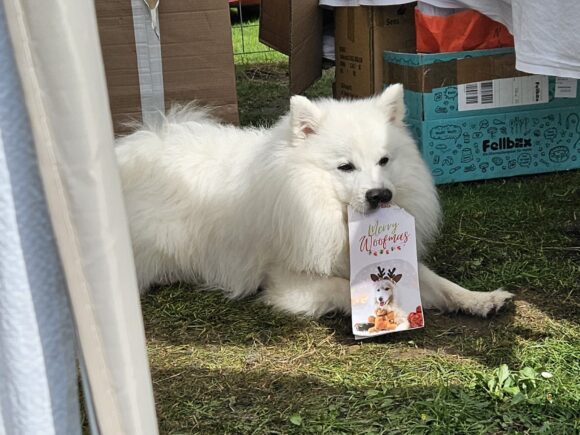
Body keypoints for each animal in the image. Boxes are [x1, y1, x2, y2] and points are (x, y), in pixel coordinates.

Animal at [116, 83, 512, 318]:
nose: (380, 195)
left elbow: (438, 282)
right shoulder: (288, 282)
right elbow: (343, 287)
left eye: (384, 161)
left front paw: (480, 298)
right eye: (345, 167)